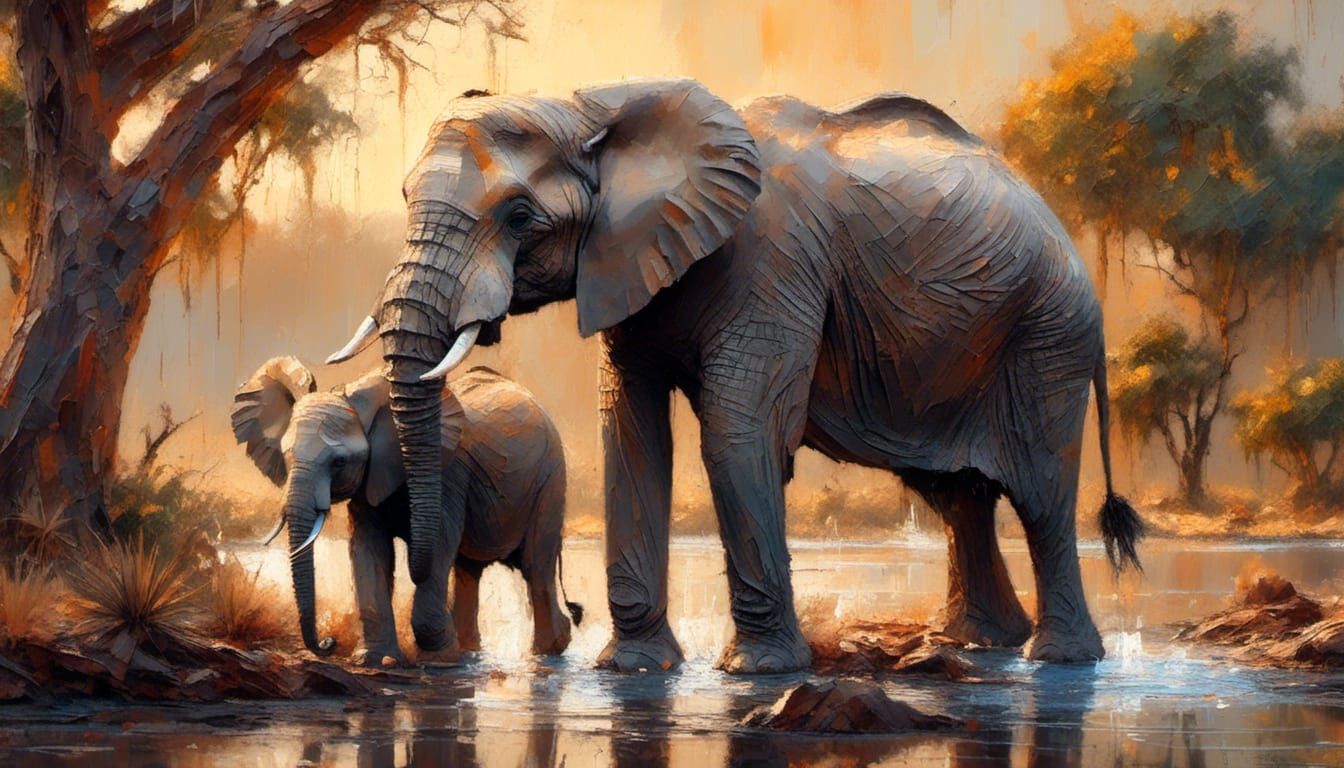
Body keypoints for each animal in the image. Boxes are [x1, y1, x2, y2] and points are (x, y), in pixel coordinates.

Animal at [230, 357, 579, 665]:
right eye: (285, 457)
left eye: (339, 462)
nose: (329, 643)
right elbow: (369, 549)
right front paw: (374, 659)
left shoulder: (446, 473)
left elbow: (437, 545)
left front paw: (438, 661)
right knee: (468, 570)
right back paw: (468, 650)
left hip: (551, 479)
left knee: (536, 565)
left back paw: (549, 650)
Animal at [327, 78, 1144, 674]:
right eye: (405, 200)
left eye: (520, 217)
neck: (600, 106)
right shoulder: (628, 263)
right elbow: (631, 435)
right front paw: (634, 670)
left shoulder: (771, 265)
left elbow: (737, 434)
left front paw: (757, 673)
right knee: (957, 497)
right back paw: (976, 646)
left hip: (1046, 334)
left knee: (1039, 491)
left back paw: (1058, 661)